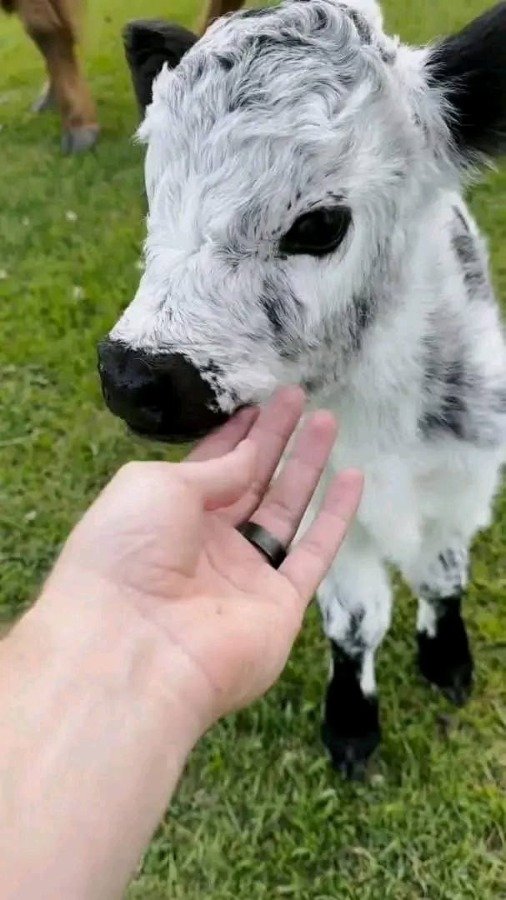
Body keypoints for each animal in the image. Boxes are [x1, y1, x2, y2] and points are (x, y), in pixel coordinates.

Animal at [98, 0, 506, 778]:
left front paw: (447, 661)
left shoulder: (465, 482)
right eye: (153, 194)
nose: (133, 376)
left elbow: (442, 577)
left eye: (319, 225)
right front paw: (351, 724)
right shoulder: (323, 506)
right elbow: (354, 620)